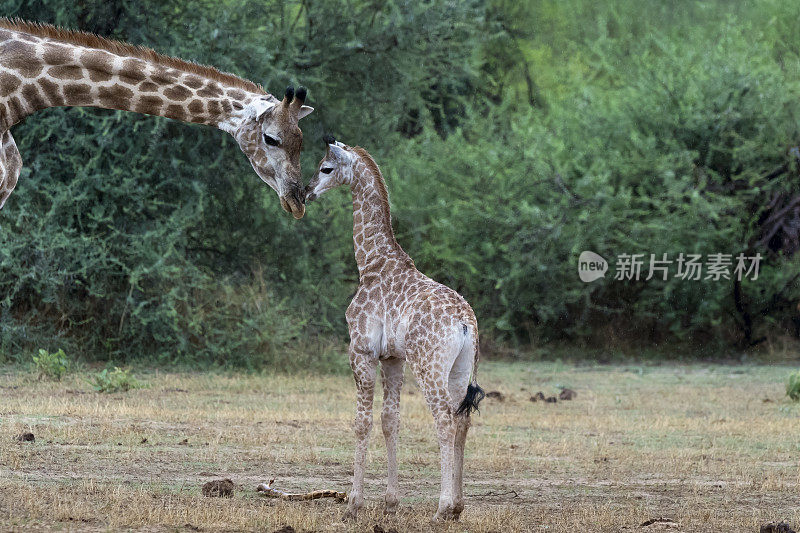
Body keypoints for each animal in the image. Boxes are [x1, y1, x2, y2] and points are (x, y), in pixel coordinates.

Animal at [306, 136, 484, 520]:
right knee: (462, 421)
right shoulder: (392, 358)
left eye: (326, 167)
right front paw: (390, 503)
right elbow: (390, 421)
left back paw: (441, 509)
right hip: (461, 367)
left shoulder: (361, 350)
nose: (307, 191)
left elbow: (362, 423)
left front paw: (353, 505)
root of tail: (465, 323)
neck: (371, 262)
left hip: (429, 366)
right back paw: (457, 507)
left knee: (444, 420)